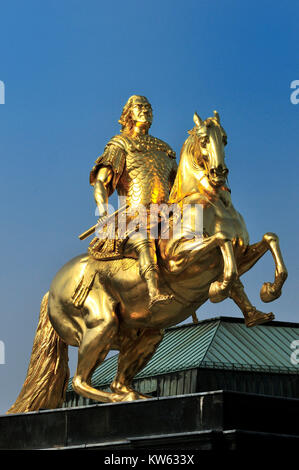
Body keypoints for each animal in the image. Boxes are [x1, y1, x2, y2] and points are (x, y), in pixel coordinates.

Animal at [7, 110, 288, 412]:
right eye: (203, 139)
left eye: (224, 138)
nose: (218, 172)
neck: (212, 203)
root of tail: (51, 290)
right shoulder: (178, 260)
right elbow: (222, 243)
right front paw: (219, 288)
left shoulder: (242, 253)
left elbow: (266, 241)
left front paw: (266, 296)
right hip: (100, 323)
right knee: (83, 381)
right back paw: (117, 398)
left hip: (145, 332)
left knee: (117, 380)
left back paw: (133, 395)